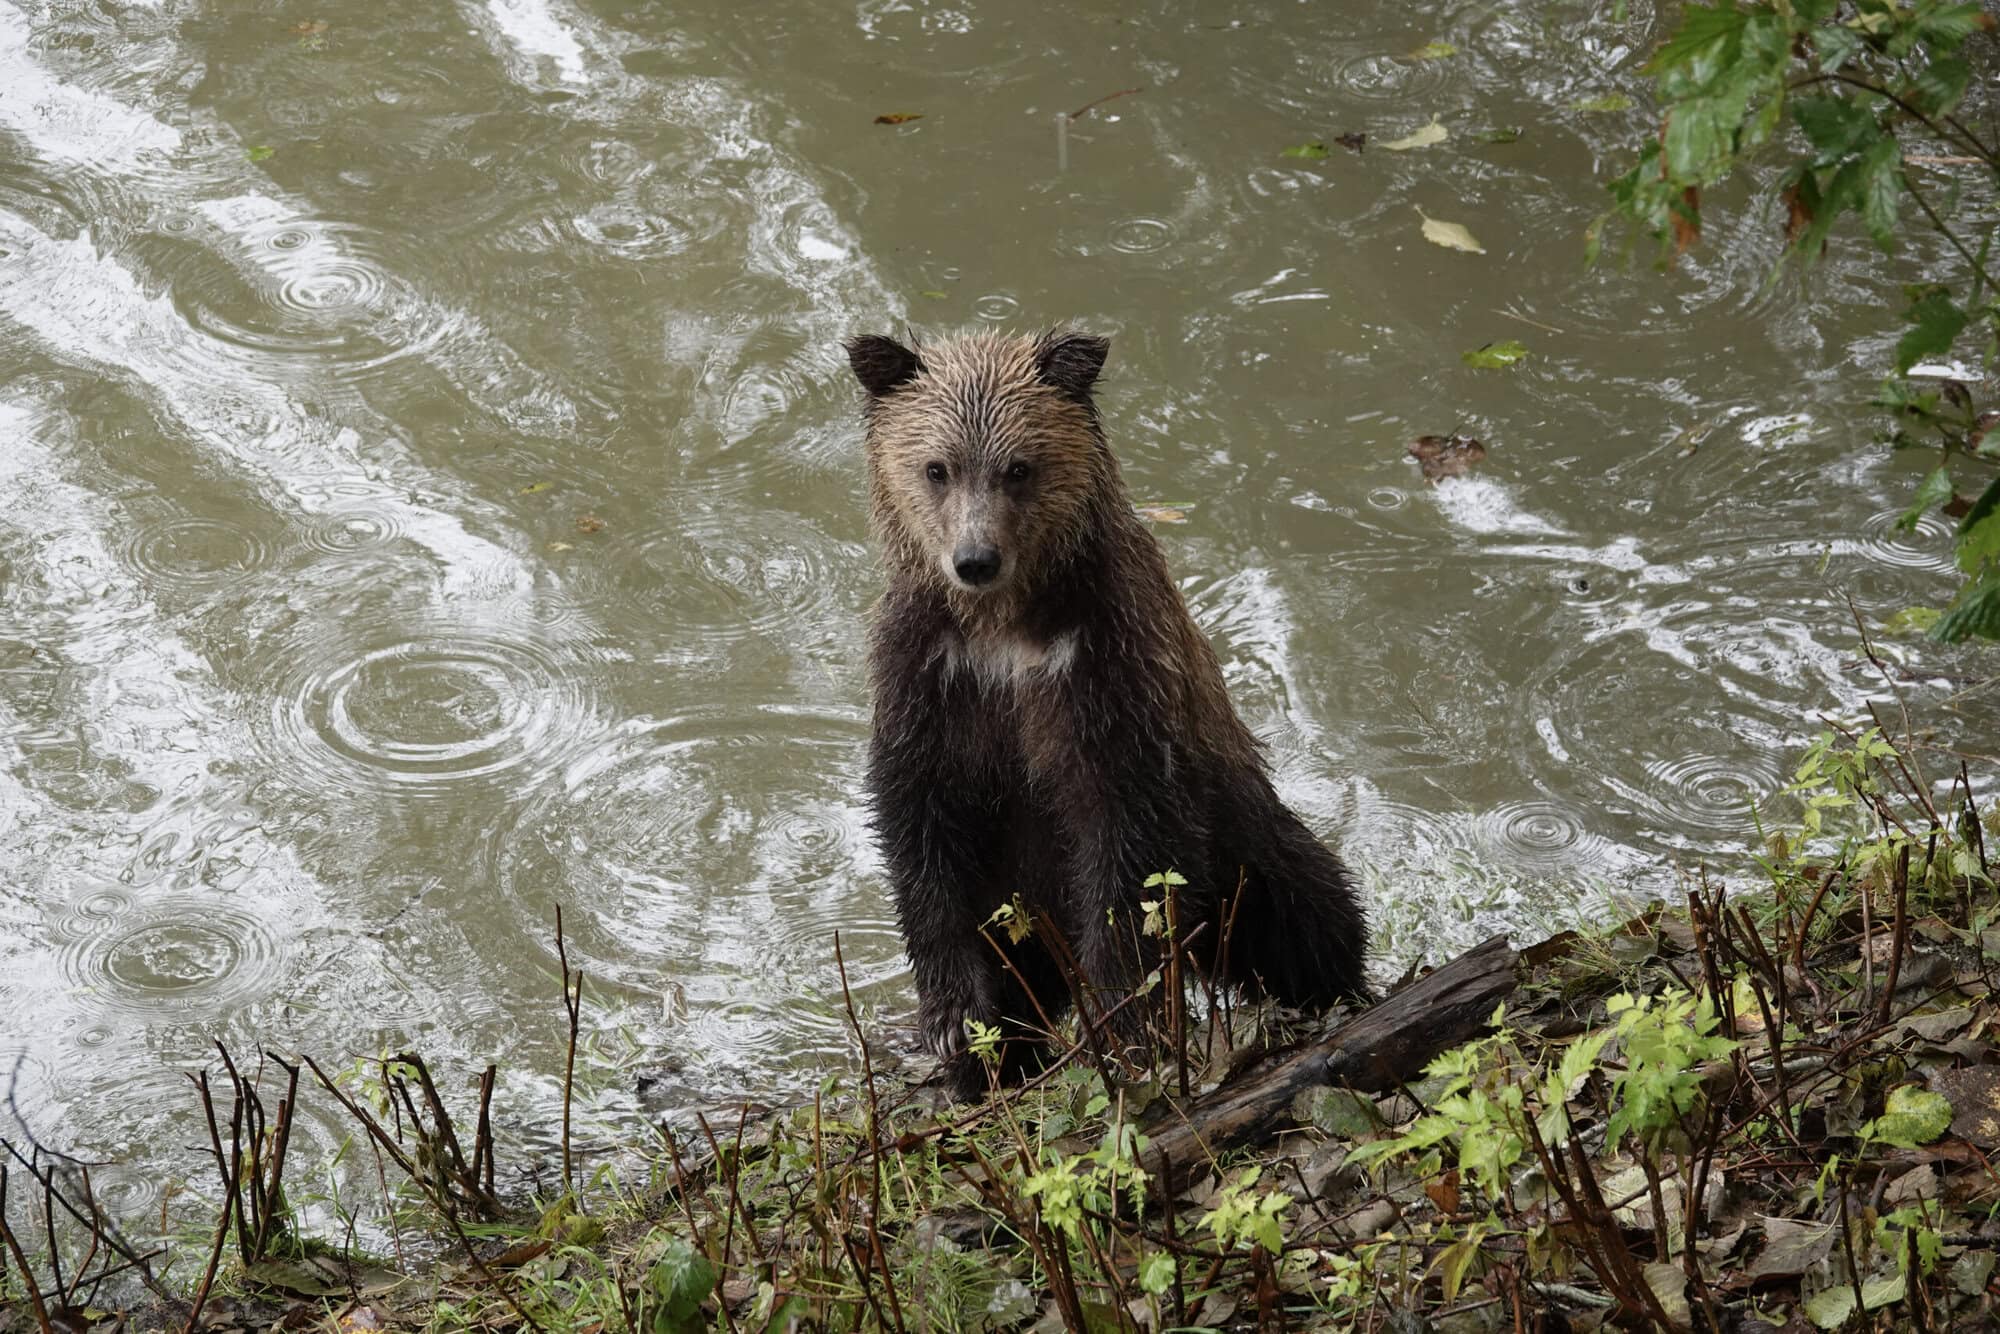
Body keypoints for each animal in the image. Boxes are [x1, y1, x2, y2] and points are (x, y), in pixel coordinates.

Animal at [844, 328, 1368, 1098]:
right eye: (936, 468)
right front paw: (957, 1022)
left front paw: (1123, 1017)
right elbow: (921, 829)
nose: (975, 559)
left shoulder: (1108, 671)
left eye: (1019, 467)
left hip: (1243, 831)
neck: (1005, 629)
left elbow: (1127, 846)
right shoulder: (930, 676)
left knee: (1306, 907)